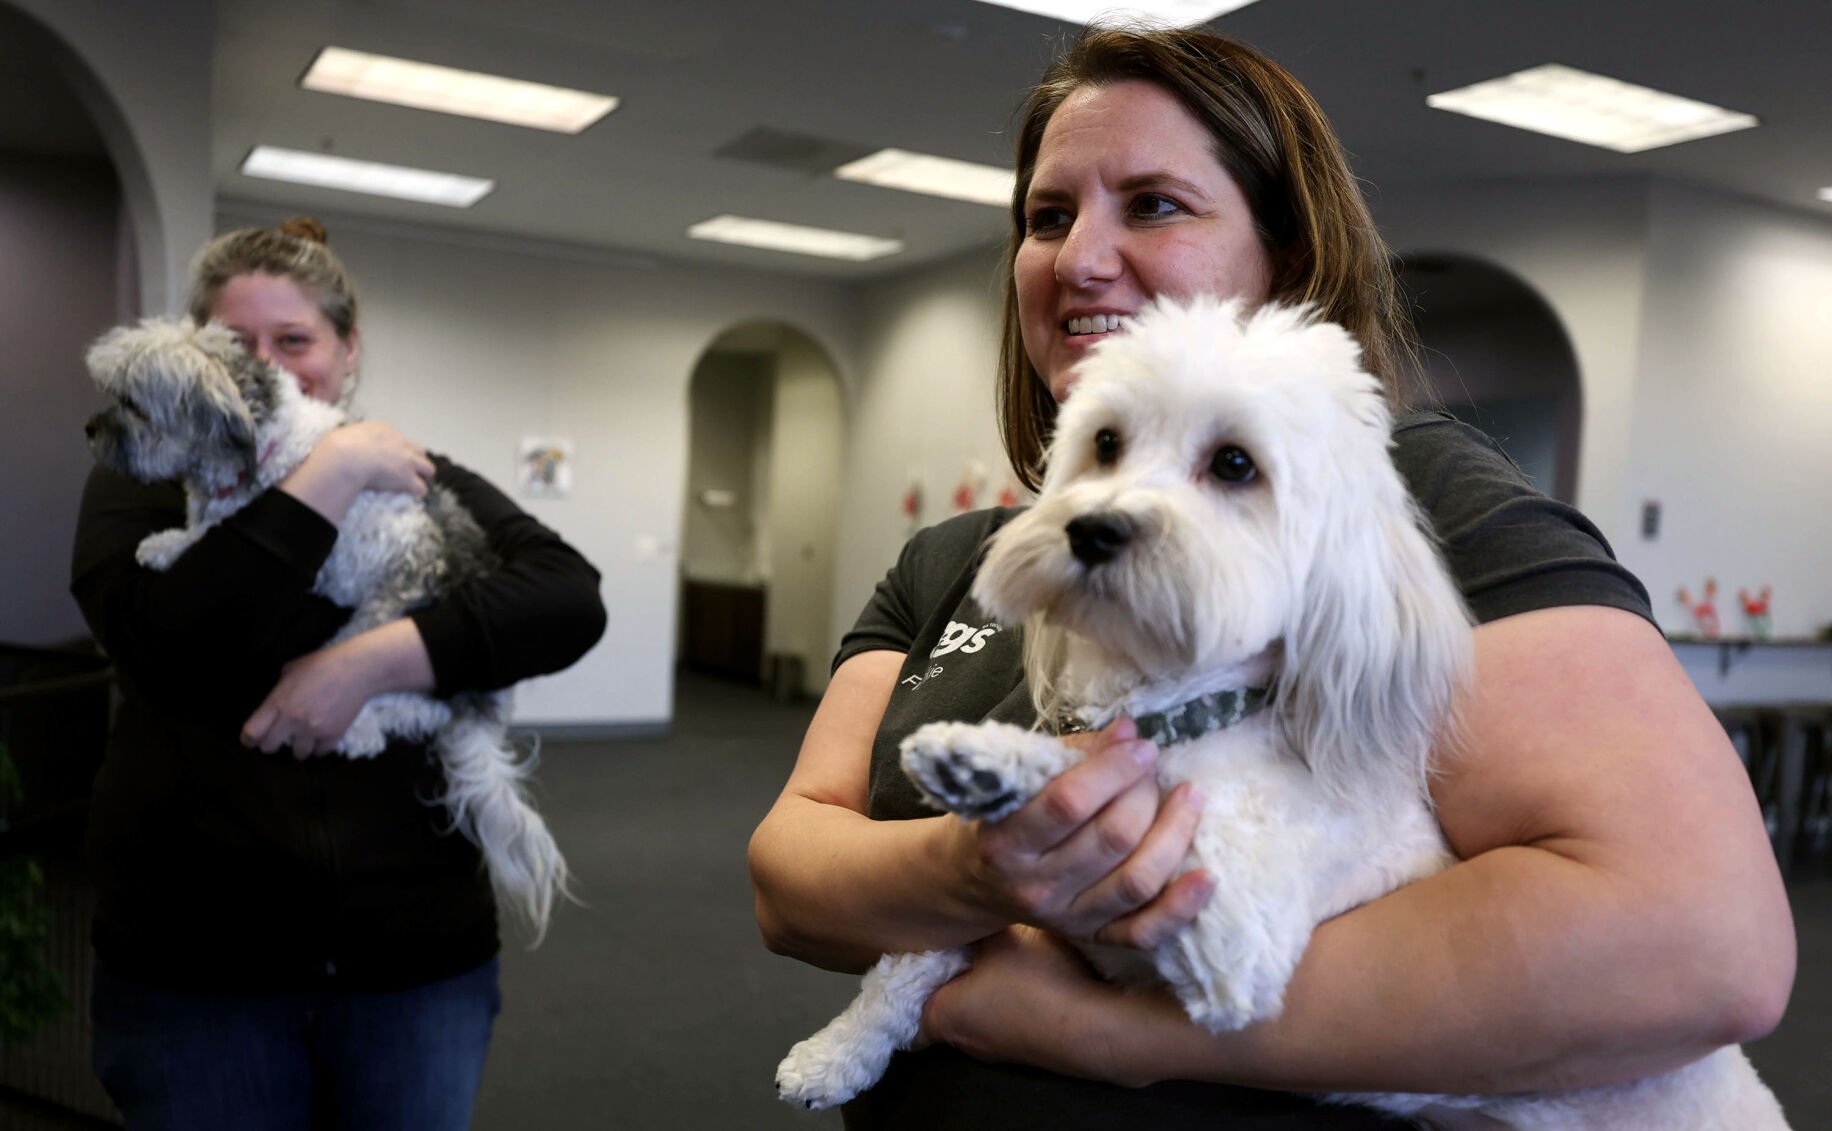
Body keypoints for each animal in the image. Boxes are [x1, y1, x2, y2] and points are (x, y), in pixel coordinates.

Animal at [86, 315, 567, 934]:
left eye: (133, 404)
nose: (89, 429)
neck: (260, 434)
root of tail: (478, 707)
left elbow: (212, 530)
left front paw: (168, 545)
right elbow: (205, 521)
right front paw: (177, 534)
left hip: (372, 630)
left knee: (389, 714)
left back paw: (355, 731)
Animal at [776, 295, 1788, 1121]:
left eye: (1235, 465)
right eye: (1105, 444)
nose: (1094, 527)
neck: (1185, 703)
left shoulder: (1231, 940)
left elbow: (1134, 784)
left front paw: (1009, 763)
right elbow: (907, 960)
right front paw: (839, 1049)